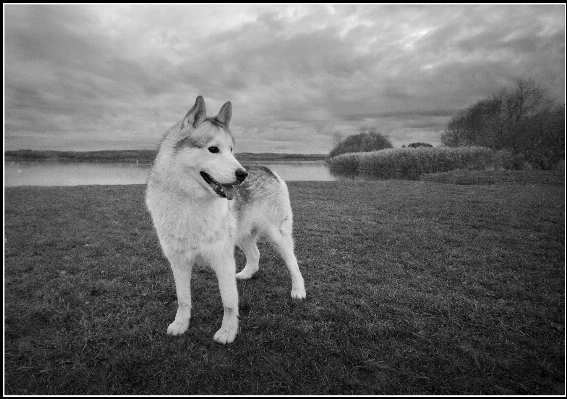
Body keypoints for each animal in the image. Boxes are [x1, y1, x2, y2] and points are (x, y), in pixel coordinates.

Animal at [146, 96, 306, 344]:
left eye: (231, 150)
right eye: (213, 149)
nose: (243, 175)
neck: (189, 201)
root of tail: (268, 169)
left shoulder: (222, 259)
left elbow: (229, 302)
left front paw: (228, 332)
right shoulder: (178, 261)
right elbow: (183, 300)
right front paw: (181, 324)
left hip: (277, 236)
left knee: (293, 262)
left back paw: (298, 290)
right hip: (242, 235)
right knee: (255, 254)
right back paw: (247, 273)